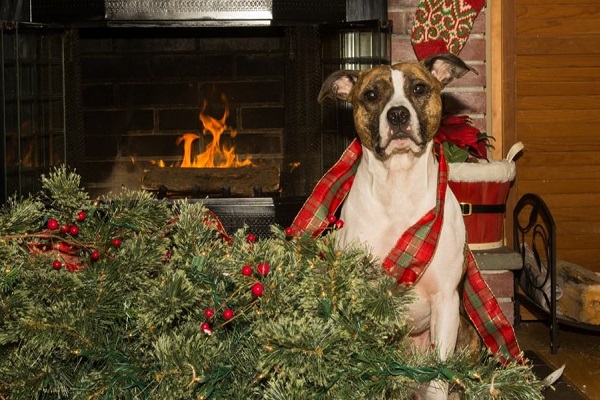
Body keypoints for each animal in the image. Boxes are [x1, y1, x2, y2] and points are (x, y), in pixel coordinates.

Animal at [318, 54, 478, 400]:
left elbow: (438, 375)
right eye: (371, 95)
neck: (398, 184)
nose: (398, 114)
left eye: (419, 88)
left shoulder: (446, 300)